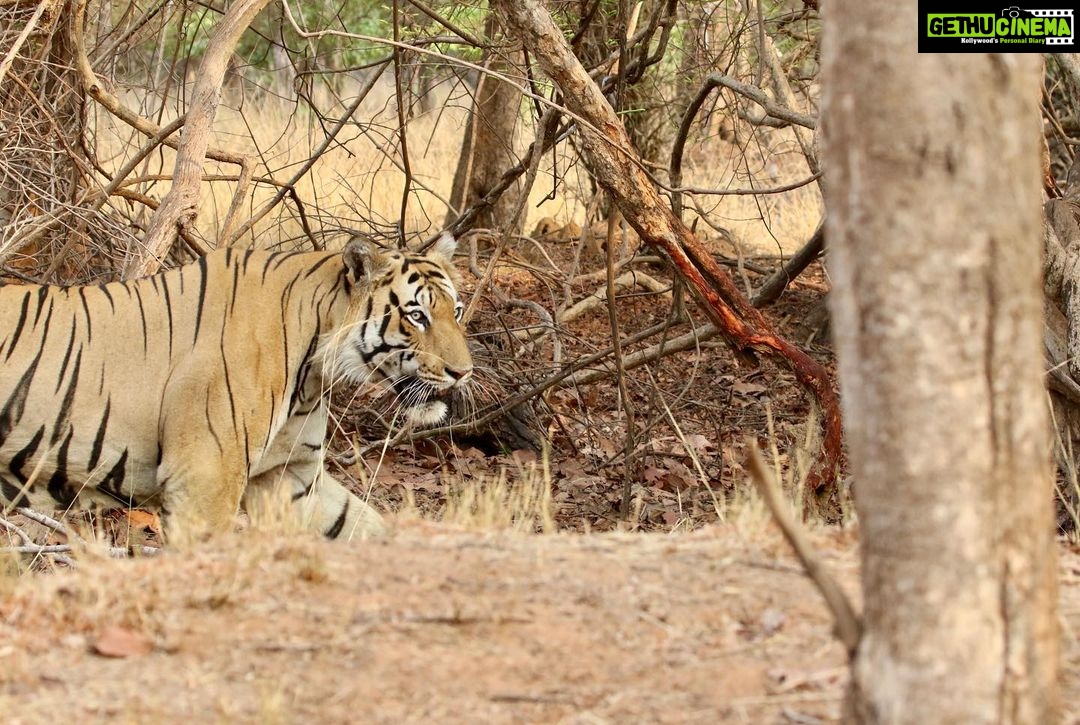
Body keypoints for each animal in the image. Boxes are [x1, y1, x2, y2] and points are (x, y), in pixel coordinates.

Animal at [0, 233, 472, 544]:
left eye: (456, 311)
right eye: (416, 316)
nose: (463, 372)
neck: (315, 374)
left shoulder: (291, 476)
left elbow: (361, 524)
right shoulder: (204, 479)